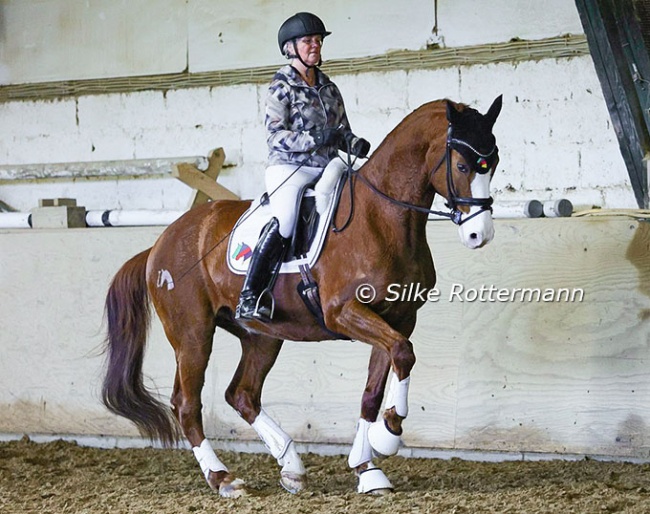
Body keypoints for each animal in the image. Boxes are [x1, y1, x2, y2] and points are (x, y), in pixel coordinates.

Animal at [101, 95, 502, 496]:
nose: (479, 235)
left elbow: (375, 388)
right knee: (186, 403)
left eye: (494, 162)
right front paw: (388, 434)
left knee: (242, 394)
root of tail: (159, 244)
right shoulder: (343, 312)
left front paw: (368, 468)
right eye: (462, 164)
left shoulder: (398, 319)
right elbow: (404, 354)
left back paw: (291, 466)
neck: (381, 219)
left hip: (260, 336)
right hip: (193, 334)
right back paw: (223, 478)